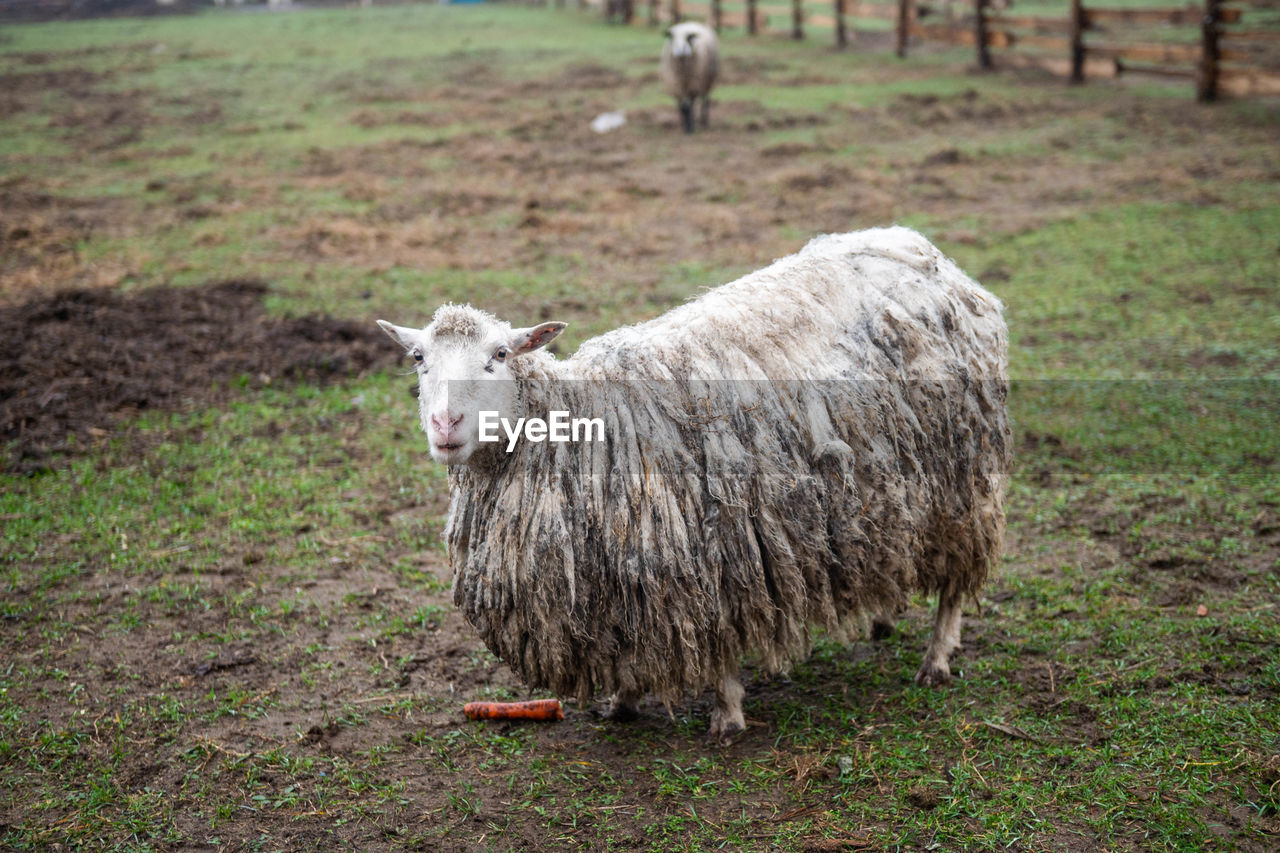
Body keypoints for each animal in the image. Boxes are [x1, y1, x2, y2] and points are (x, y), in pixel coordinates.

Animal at [373, 225, 1013, 737]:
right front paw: (623, 701)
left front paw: (726, 716)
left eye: (501, 354)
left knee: (958, 579)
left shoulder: (712, 549)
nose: (446, 424)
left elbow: (720, 636)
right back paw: (882, 617)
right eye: (419, 360)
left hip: (961, 479)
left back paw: (937, 658)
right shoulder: (617, 572)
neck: (578, 424)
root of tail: (922, 249)